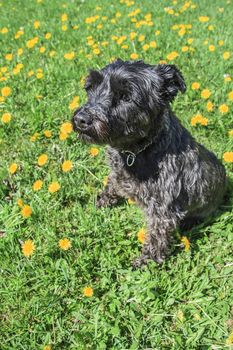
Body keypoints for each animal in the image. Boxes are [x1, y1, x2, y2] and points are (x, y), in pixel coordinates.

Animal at [71, 59, 226, 268]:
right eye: (90, 88)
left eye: (126, 97)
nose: (81, 119)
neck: (134, 151)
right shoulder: (116, 173)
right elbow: (112, 184)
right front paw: (103, 200)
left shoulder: (163, 209)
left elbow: (156, 236)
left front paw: (147, 261)